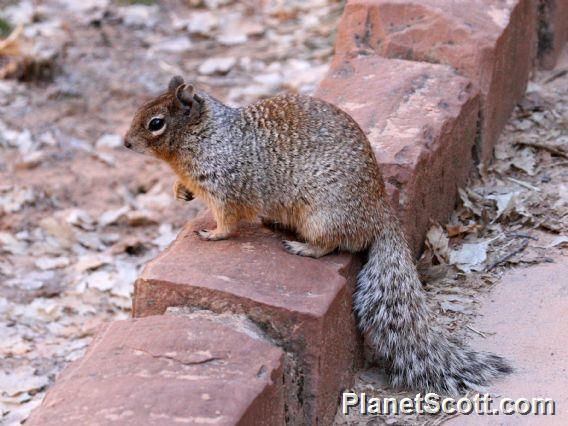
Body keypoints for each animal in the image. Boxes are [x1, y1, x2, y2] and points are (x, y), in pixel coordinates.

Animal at [125, 75, 516, 394]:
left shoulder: (226, 188)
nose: (126, 143)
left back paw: (303, 248)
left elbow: (228, 220)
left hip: (321, 216)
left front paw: (212, 234)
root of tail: (381, 213)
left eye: (156, 123)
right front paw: (180, 193)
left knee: (335, 245)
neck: (205, 136)